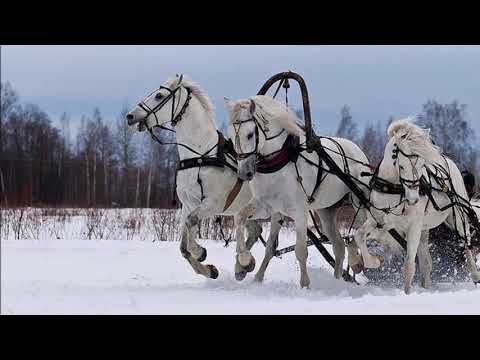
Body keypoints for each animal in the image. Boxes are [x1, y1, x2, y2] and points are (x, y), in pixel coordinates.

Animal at [127, 74, 284, 280]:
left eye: (159, 95)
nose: (130, 116)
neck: (200, 155)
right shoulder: (188, 204)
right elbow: (183, 246)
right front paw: (209, 269)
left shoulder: (213, 204)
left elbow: (191, 222)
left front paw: (200, 251)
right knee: (254, 230)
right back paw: (242, 267)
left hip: (274, 211)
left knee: (270, 247)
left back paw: (251, 270)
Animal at [225, 94, 372, 288]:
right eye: (231, 135)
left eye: (250, 134)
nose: (244, 173)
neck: (280, 162)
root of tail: (357, 150)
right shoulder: (268, 206)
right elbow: (245, 222)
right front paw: (248, 265)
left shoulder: (300, 212)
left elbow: (300, 250)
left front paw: (305, 285)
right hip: (326, 211)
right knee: (339, 246)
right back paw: (337, 280)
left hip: (358, 202)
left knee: (361, 231)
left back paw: (357, 261)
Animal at [352, 119, 480, 294]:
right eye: (402, 166)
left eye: (421, 166)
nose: (413, 199)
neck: (394, 189)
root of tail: (448, 161)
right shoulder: (379, 222)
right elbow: (359, 235)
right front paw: (374, 261)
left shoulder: (413, 227)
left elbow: (409, 265)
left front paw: (407, 293)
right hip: (424, 230)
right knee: (427, 262)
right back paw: (426, 286)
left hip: (457, 219)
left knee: (466, 244)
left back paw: (474, 275)